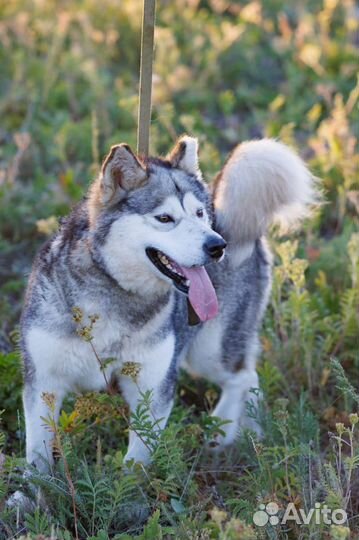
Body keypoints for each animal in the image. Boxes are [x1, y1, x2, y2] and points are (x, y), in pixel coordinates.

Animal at [21, 135, 316, 468]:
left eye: (199, 213)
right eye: (165, 218)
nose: (218, 246)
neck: (115, 295)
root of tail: (229, 217)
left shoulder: (152, 385)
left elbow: (136, 463)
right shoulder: (43, 382)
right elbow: (38, 452)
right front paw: (35, 483)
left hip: (208, 352)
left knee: (243, 376)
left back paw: (222, 433)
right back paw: (251, 429)